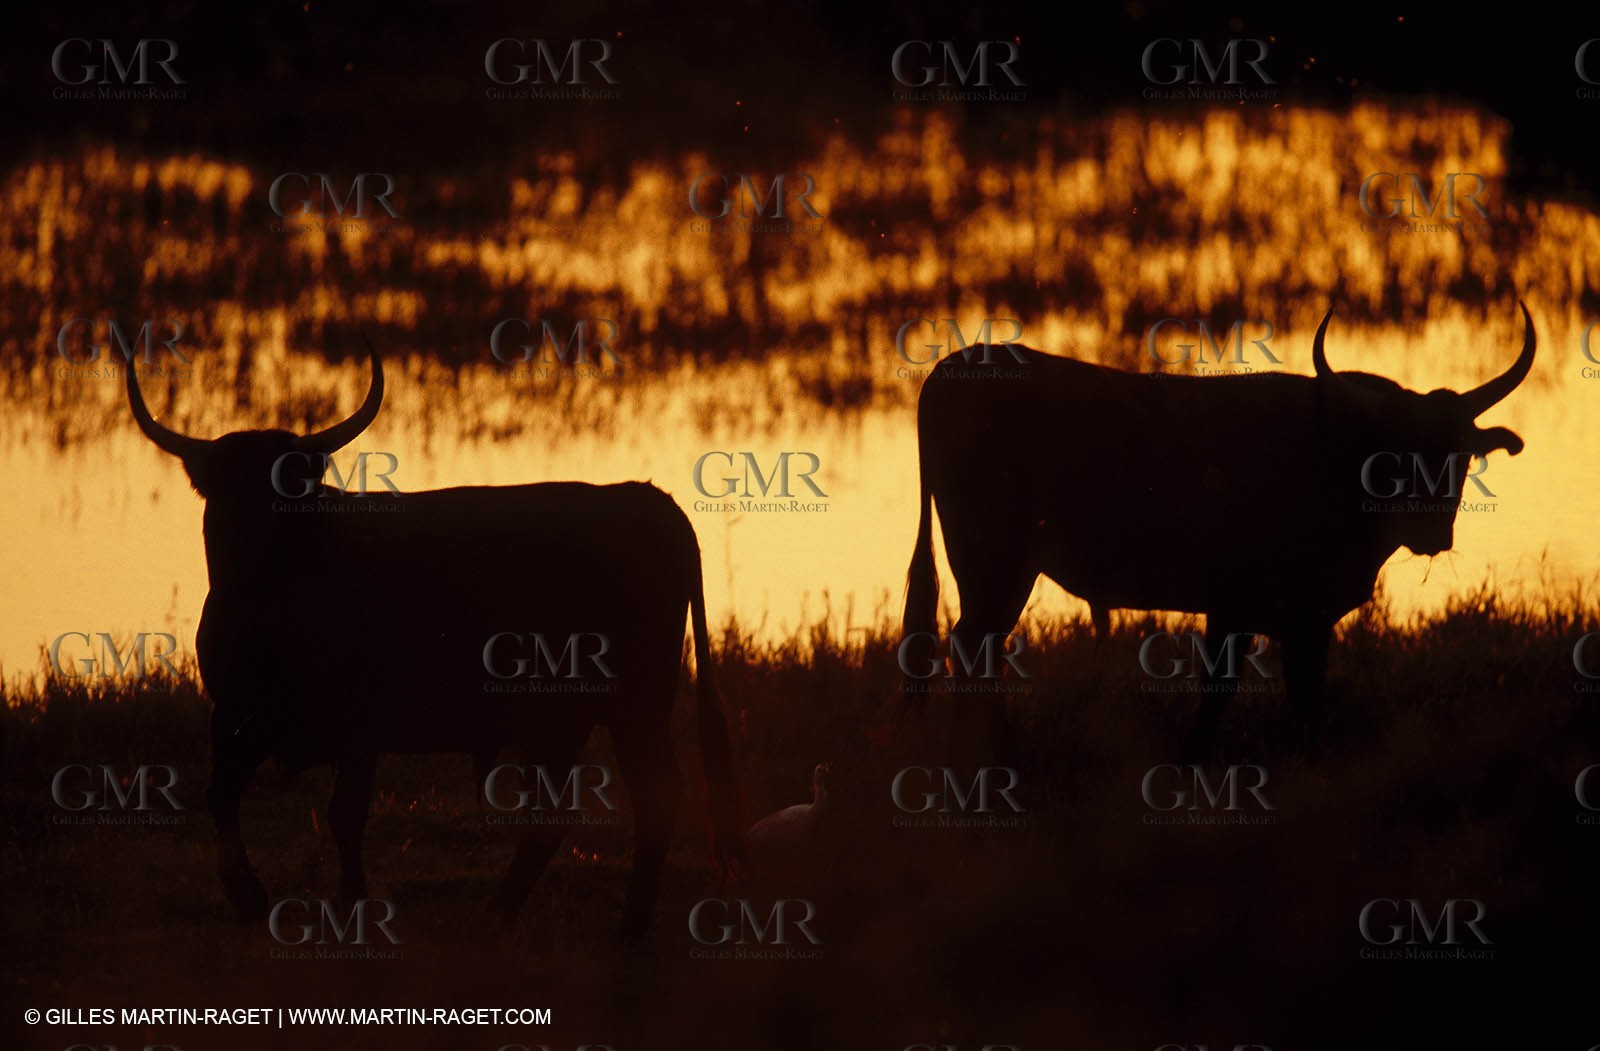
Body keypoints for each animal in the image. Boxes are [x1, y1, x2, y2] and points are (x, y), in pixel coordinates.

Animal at [125, 346, 745, 939]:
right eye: (226, 491)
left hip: (629, 704)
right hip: (576, 718)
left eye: (291, 484)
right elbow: (221, 796)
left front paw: (350, 905)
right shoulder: (234, 716)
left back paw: (605, 925)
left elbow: (345, 814)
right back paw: (525, 916)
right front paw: (250, 899)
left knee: (648, 795)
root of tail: (646, 499)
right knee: (568, 810)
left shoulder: (359, 726)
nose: (256, 552)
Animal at [902, 302, 1536, 751]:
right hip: (995, 561)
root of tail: (952, 367)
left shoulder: (1307, 619)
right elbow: (1221, 694)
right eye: (1393, 455)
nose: (1432, 533)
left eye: (1460, 454)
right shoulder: (1239, 607)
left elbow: (1306, 698)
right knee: (974, 644)